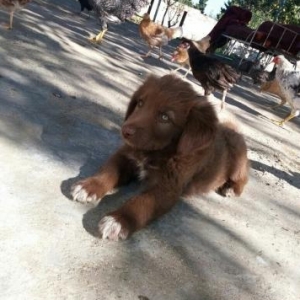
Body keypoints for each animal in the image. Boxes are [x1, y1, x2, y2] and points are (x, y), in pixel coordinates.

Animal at [70, 74, 248, 240]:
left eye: (165, 117)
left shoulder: (168, 187)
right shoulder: (125, 156)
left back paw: (231, 189)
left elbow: (142, 202)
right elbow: (109, 170)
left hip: (238, 160)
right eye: (140, 103)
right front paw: (88, 187)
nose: (125, 130)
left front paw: (118, 221)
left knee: (243, 178)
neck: (157, 152)